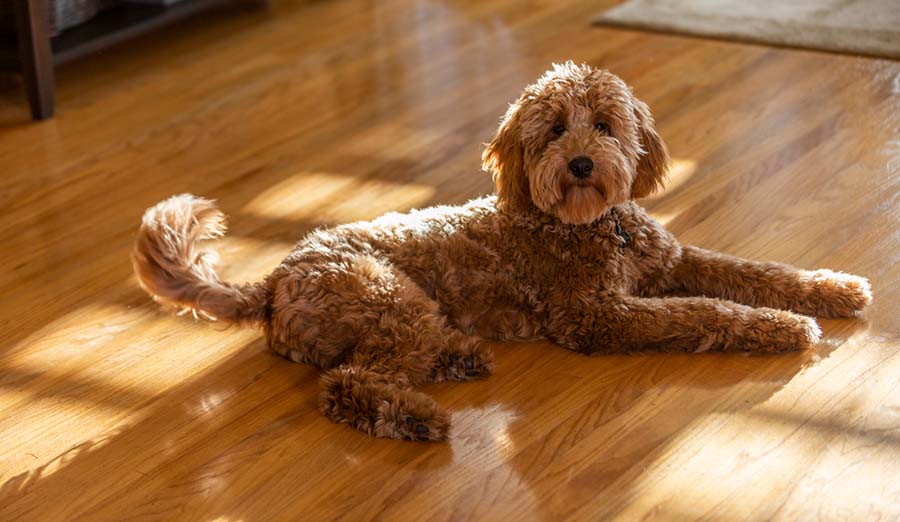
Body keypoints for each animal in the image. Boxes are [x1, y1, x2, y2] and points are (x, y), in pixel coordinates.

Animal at [134, 63, 872, 440]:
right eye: (553, 131)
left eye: (605, 125)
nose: (580, 164)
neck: (593, 226)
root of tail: (274, 279)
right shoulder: (597, 316)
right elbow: (707, 313)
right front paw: (784, 328)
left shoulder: (671, 260)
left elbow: (755, 271)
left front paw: (832, 290)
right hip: (389, 300)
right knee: (347, 385)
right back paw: (417, 416)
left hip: (403, 315)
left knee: (376, 367)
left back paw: (456, 358)